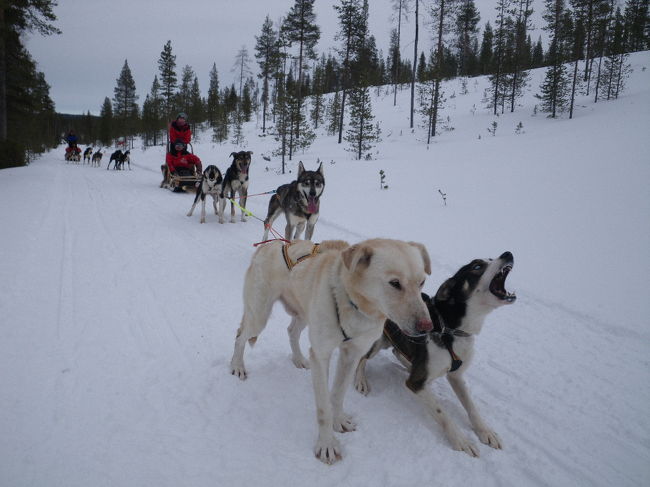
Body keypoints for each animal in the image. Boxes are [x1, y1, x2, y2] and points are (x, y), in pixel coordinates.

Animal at [230, 239, 432, 466]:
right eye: (395, 283)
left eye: (422, 282)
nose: (427, 327)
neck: (352, 304)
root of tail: (270, 245)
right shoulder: (321, 355)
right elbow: (324, 407)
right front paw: (327, 444)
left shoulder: (352, 355)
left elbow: (337, 394)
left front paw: (339, 420)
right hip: (259, 317)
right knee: (240, 335)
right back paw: (237, 365)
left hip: (303, 315)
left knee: (291, 331)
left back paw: (298, 359)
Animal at [352, 254, 512, 460]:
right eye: (477, 266)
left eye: (491, 258)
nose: (508, 254)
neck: (449, 329)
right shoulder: (415, 384)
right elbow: (442, 412)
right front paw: (461, 440)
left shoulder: (456, 376)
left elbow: (471, 406)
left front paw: (485, 431)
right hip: (378, 341)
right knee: (362, 358)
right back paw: (361, 380)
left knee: (397, 352)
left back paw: (407, 363)